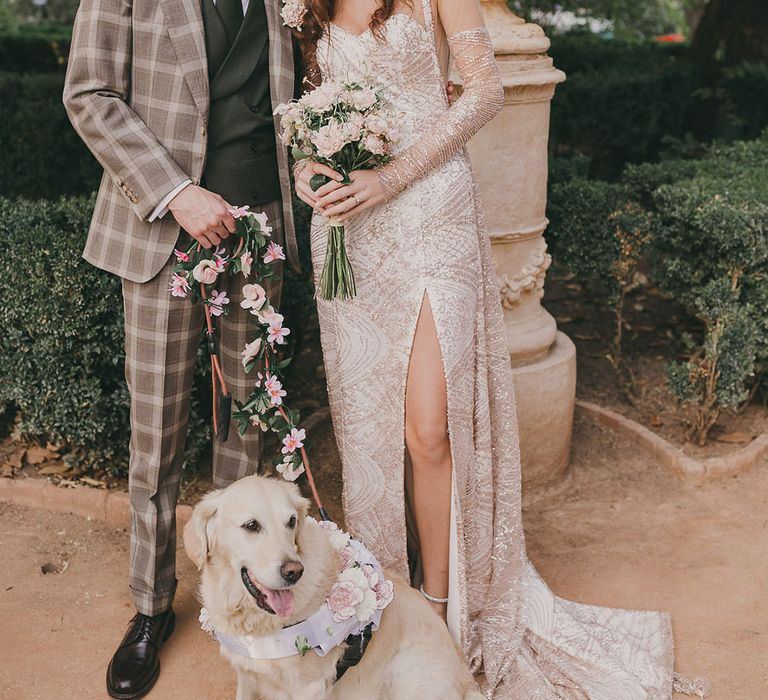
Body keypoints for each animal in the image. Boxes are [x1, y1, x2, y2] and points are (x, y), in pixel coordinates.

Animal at [184, 476, 484, 700]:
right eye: (251, 525)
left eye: (291, 521)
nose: (294, 572)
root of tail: (466, 681)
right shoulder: (246, 674)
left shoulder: (309, 687)